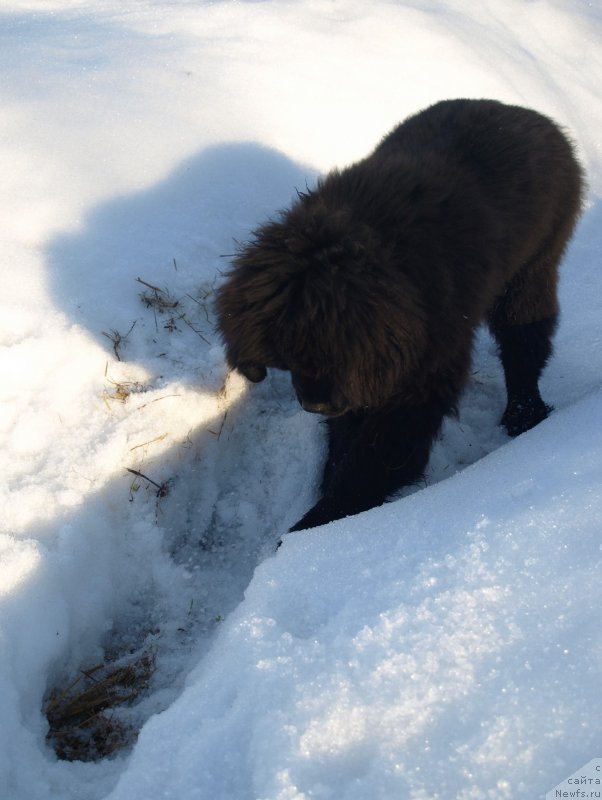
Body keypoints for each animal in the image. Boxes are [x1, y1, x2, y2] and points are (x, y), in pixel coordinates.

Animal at [213, 100, 580, 536]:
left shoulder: (422, 372)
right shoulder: (372, 370)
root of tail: (536, 117)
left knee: (525, 343)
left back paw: (524, 414)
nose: (314, 405)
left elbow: (379, 455)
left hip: (532, 268)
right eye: (287, 361)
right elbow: (350, 437)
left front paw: (313, 529)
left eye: (322, 355)